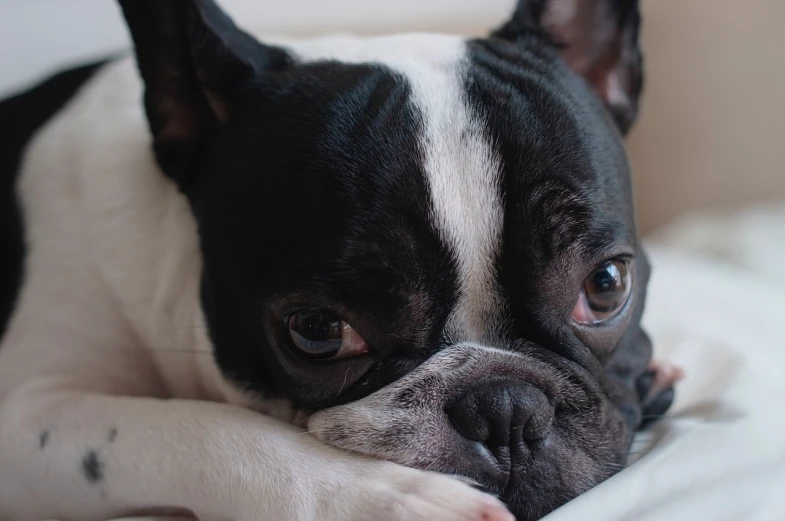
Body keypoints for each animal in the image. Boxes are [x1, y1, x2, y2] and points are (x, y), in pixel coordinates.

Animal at [0, 1, 680, 520]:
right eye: (319, 330)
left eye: (605, 285)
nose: (505, 408)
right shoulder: (30, 414)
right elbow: (201, 430)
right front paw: (389, 499)